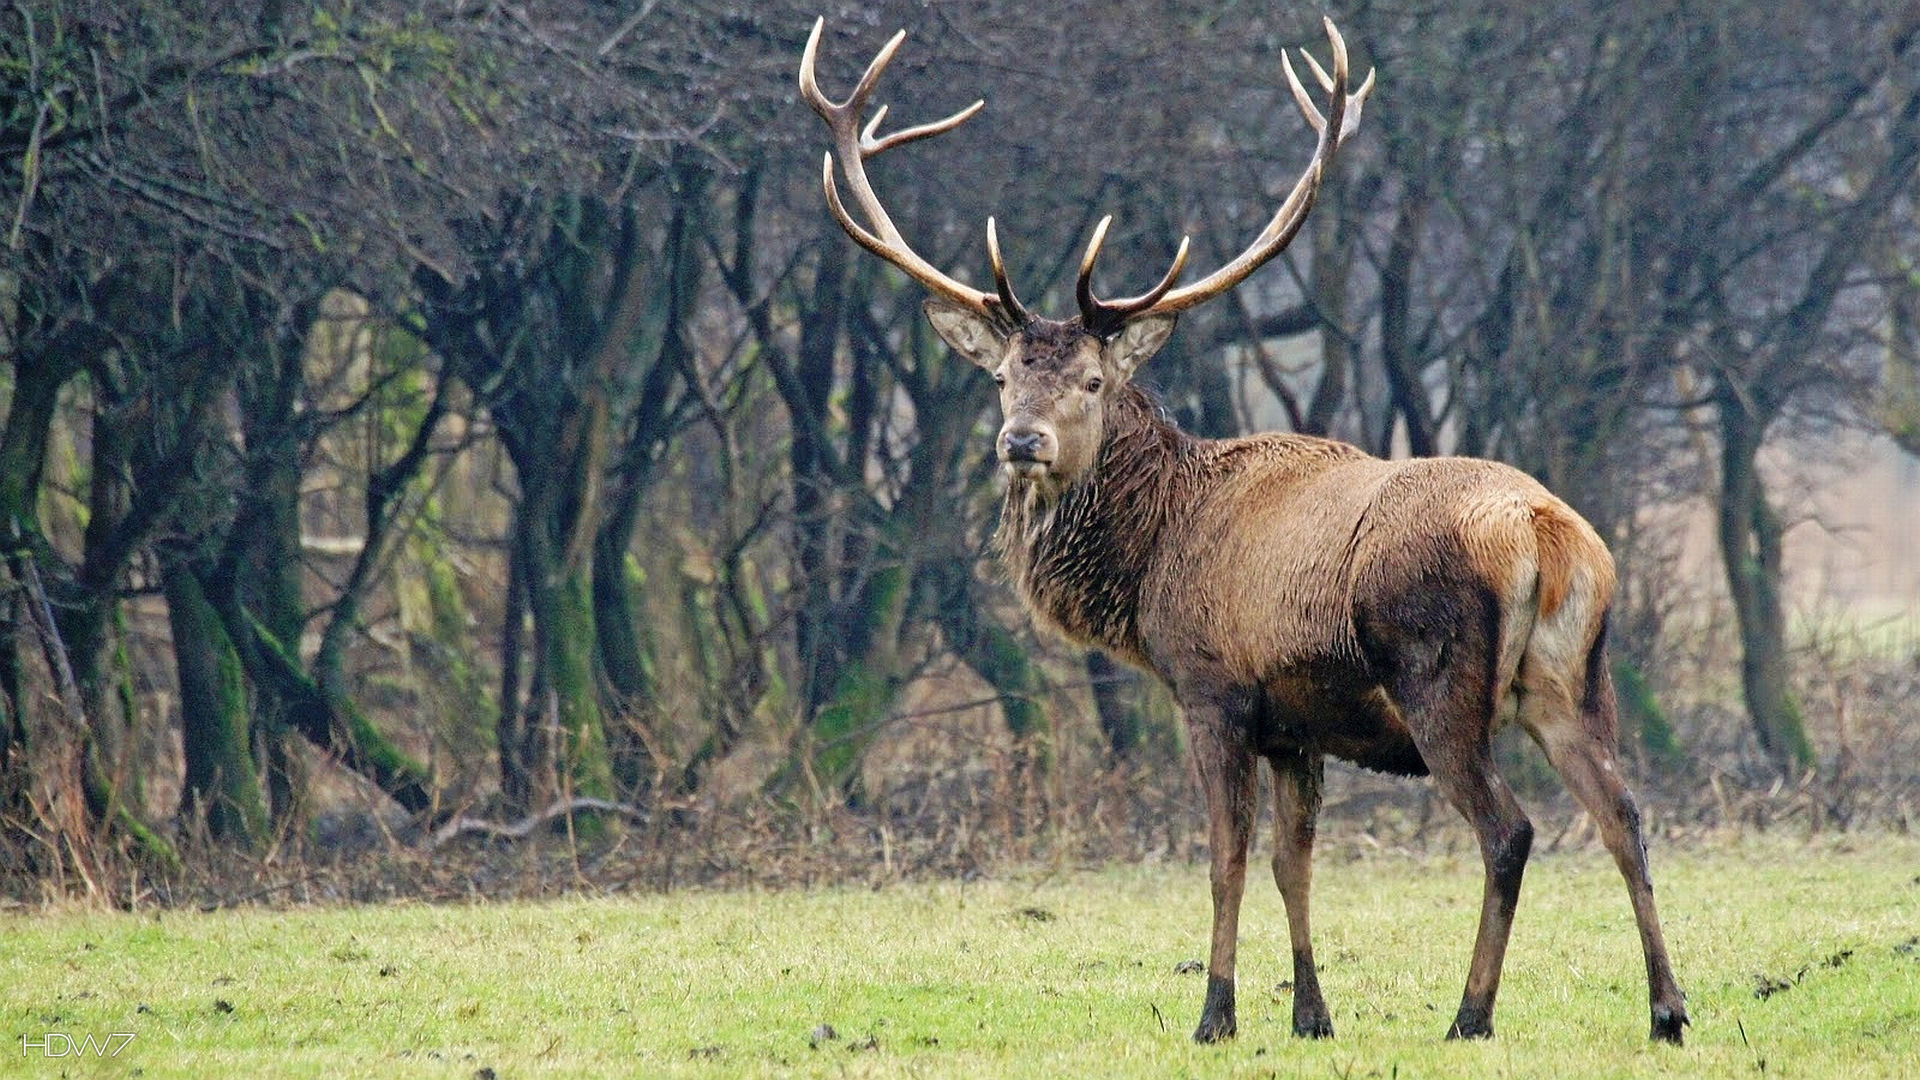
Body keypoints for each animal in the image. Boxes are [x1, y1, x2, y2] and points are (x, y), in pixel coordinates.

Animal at [800, 15, 1688, 1046]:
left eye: (1093, 381)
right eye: (1004, 376)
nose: (1021, 442)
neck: (1148, 563)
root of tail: (1546, 533)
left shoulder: (1213, 688)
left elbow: (1225, 857)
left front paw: (1215, 1013)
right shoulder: (1296, 724)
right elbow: (1292, 863)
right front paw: (1311, 1014)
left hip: (1439, 677)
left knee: (1509, 829)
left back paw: (1471, 1015)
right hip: (1575, 681)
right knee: (1624, 813)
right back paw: (1667, 1010)